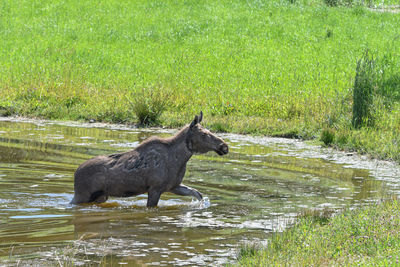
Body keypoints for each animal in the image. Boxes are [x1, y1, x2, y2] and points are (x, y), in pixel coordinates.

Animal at [70, 112, 228, 208]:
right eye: (203, 134)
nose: (224, 146)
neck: (180, 159)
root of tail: (76, 173)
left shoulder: (173, 186)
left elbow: (197, 194)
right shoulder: (155, 188)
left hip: (100, 196)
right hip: (82, 195)